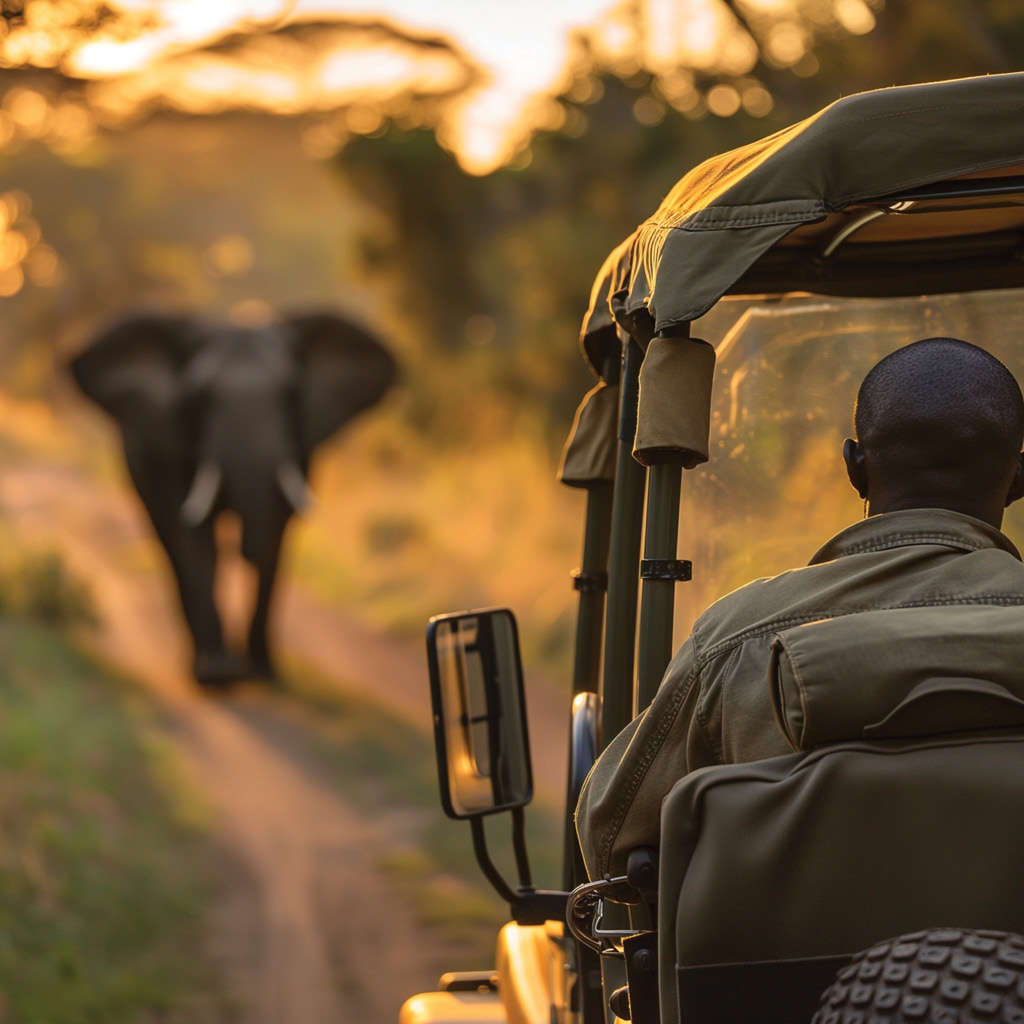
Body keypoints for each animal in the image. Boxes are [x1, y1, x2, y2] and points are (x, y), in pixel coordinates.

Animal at [71, 305, 395, 688]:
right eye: (199, 398)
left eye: (291, 393)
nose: (240, 549)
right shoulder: (171, 443)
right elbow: (194, 537)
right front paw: (218, 674)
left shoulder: (299, 449)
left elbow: (276, 537)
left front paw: (263, 672)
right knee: (169, 542)